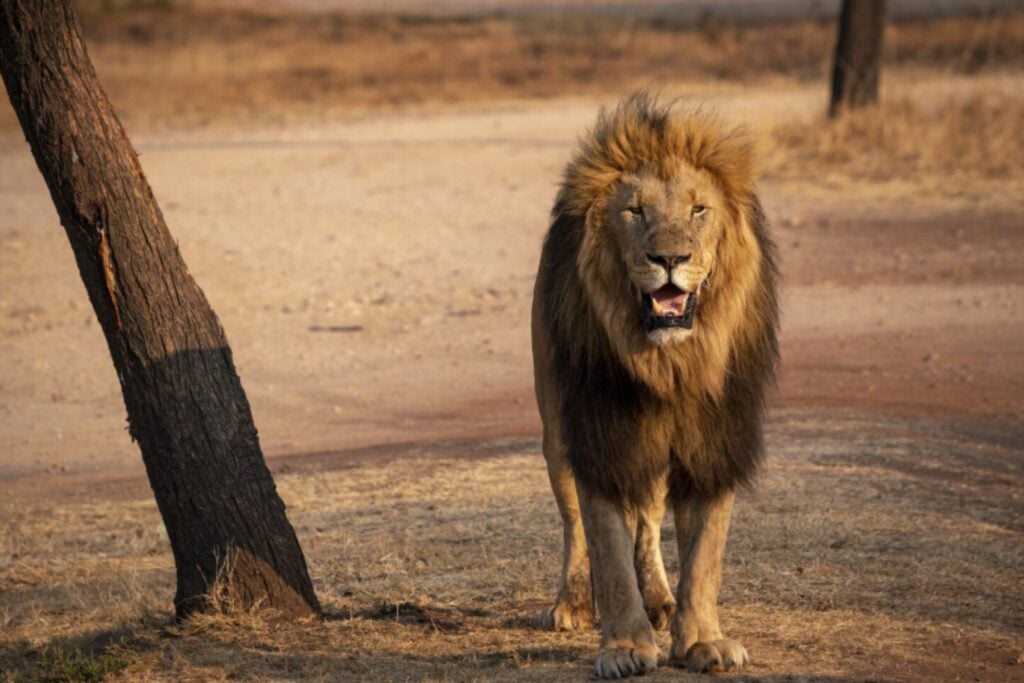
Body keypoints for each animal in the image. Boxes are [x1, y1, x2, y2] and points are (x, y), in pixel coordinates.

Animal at [531, 93, 779, 678]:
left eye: (698, 210)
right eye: (634, 211)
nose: (669, 259)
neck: (670, 365)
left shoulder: (713, 441)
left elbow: (705, 555)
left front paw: (702, 640)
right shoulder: (600, 434)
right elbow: (607, 548)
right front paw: (624, 646)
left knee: (647, 517)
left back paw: (661, 601)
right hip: (557, 433)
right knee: (575, 523)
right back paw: (572, 603)